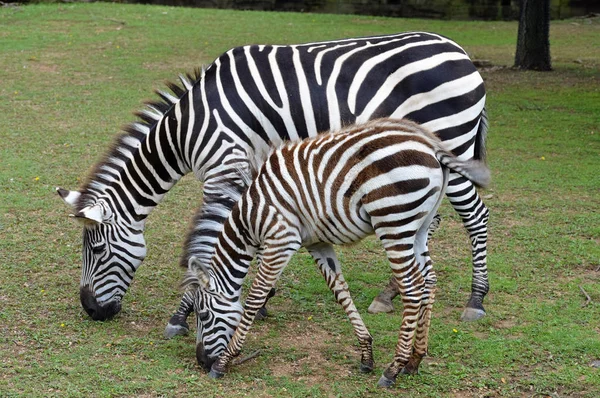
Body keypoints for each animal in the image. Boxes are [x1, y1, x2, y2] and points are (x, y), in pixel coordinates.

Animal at [56, 31, 490, 336]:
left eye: (96, 249)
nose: (91, 311)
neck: (186, 130)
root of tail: (458, 51)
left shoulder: (223, 170)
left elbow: (208, 241)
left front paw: (184, 313)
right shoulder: (247, 171)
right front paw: (261, 299)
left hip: (453, 144)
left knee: (477, 216)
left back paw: (476, 300)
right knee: (429, 222)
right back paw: (390, 293)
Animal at [180, 117, 490, 386]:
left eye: (203, 314)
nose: (201, 362)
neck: (250, 216)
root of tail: (431, 145)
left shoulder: (282, 239)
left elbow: (255, 297)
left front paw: (224, 362)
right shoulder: (317, 243)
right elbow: (340, 291)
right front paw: (366, 354)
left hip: (393, 222)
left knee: (413, 287)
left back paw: (394, 368)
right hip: (419, 227)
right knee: (429, 281)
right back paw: (415, 360)